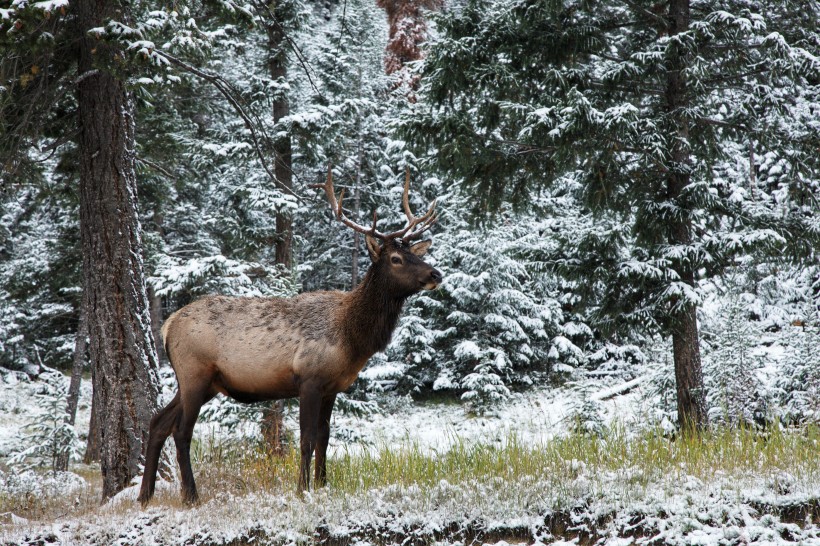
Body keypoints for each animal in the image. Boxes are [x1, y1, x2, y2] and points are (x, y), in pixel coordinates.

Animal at [138, 168, 442, 504]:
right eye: (395, 259)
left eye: (413, 253)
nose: (435, 274)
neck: (352, 338)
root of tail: (168, 325)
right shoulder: (309, 378)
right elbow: (306, 438)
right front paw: (302, 488)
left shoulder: (332, 387)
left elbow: (324, 436)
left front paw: (323, 485)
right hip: (195, 372)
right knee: (181, 430)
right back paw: (190, 495)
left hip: (205, 382)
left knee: (158, 421)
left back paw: (145, 495)